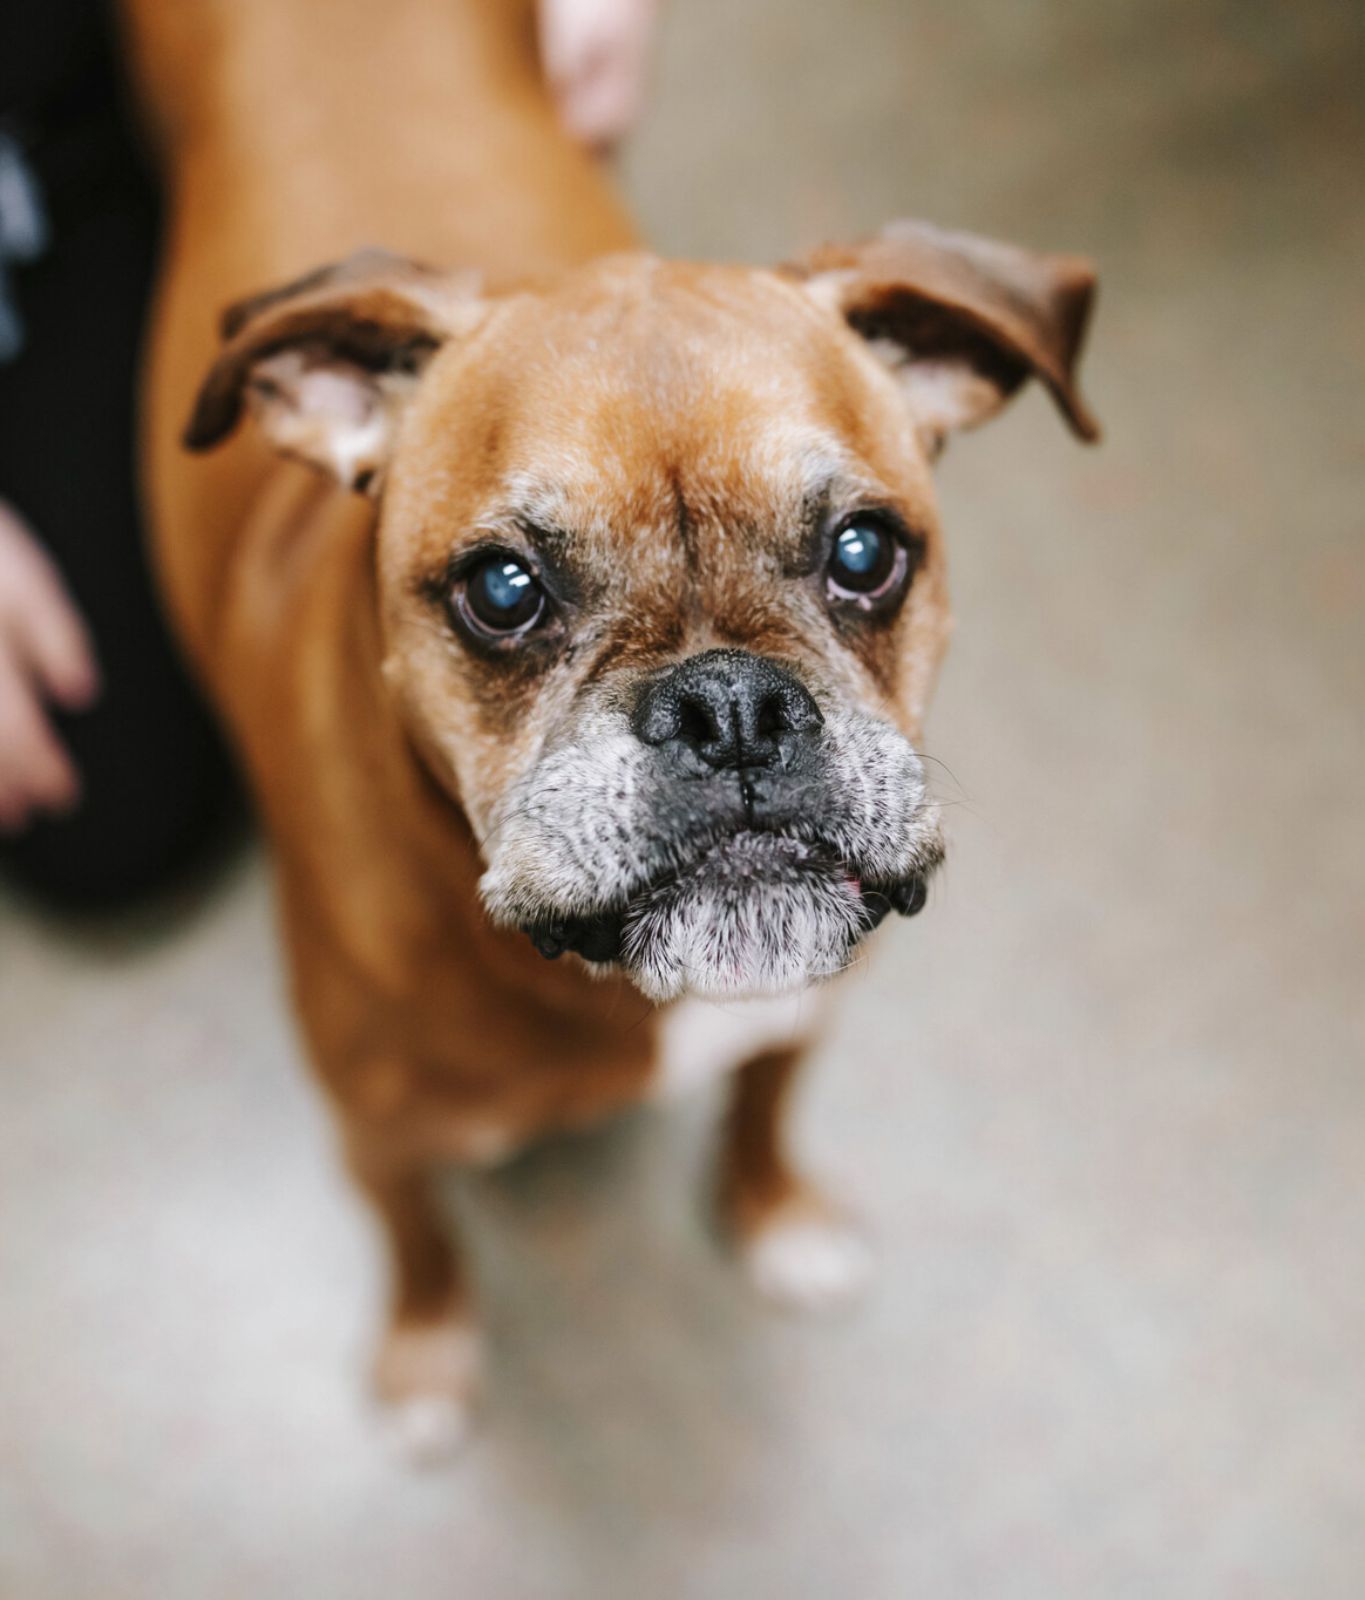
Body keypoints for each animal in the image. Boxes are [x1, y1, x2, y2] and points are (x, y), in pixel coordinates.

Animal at [120, 0, 1094, 1459]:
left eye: (867, 552)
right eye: (502, 589)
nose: (730, 704)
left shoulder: (800, 1017)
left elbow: (758, 1108)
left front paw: (775, 1216)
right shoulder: (375, 1139)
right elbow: (418, 1239)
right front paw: (423, 1352)